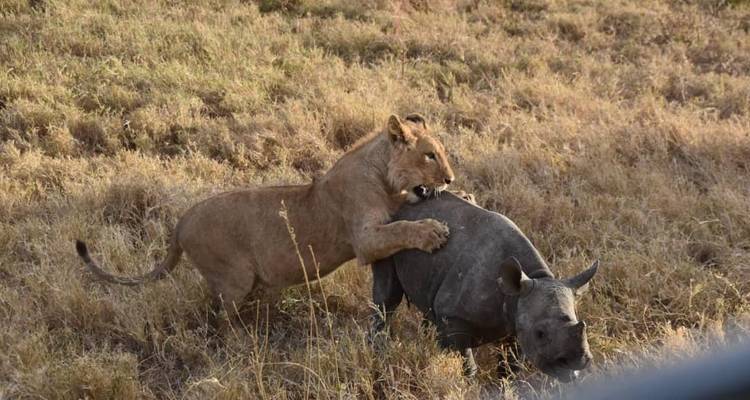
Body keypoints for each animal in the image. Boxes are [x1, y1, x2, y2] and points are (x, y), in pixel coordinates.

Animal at [76, 113, 456, 314]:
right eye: (430, 155)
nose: (451, 178)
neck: (382, 175)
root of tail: (181, 221)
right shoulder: (364, 239)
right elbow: (401, 228)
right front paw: (433, 232)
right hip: (234, 278)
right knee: (220, 318)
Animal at [371, 192, 599, 382]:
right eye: (540, 333)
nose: (578, 364)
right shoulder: (454, 317)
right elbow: (466, 362)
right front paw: (469, 384)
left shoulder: (516, 318)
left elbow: (511, 366)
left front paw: (506, 385)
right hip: (387, 232)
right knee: (387, 296)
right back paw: (379, 351)